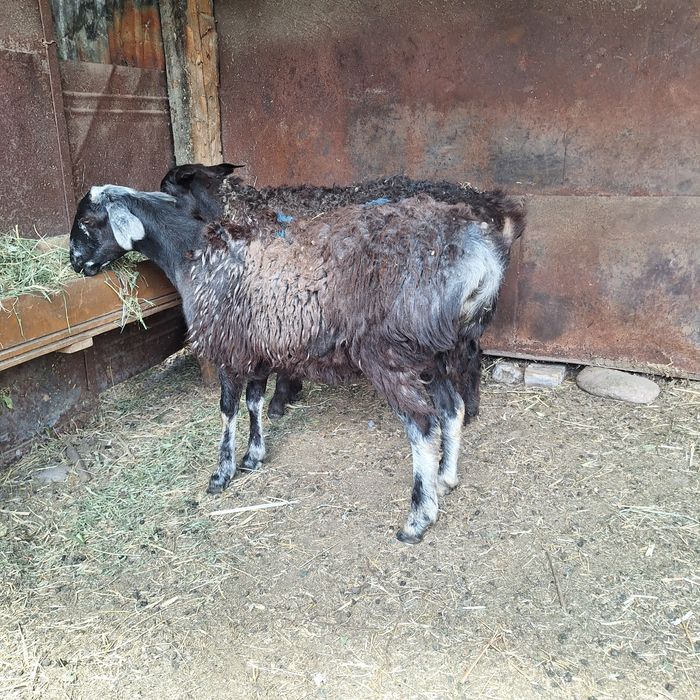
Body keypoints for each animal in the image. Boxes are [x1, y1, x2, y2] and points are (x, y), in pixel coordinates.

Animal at [70, 182, 524, 543]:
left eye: (89, 220)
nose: (74, 262)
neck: (194, 252)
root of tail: (479, 255)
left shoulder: (229, 346)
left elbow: (228, 409)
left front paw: (221, 474)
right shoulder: (258, 349)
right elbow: (254, 401)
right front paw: (254, 456)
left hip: (392, 351)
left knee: (423, 425)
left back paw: (418, 518)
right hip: (437, 350)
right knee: (452, 409)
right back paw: (446, 479)